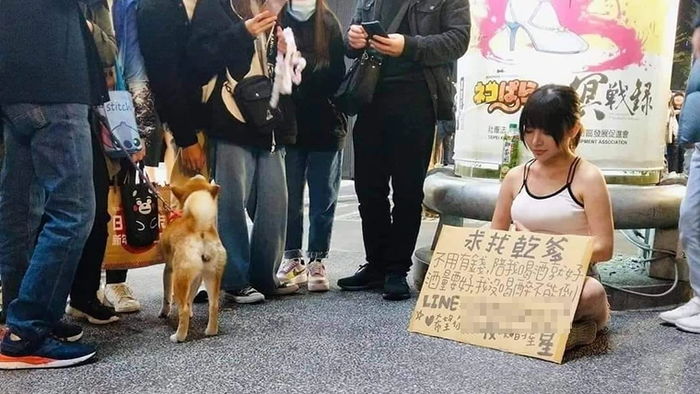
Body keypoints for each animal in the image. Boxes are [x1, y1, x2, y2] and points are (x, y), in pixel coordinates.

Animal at [159, 175, 226, 342]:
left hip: (179, 277)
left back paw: (178, 336)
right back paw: (211, 331)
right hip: (212, 275)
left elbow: (167, 296)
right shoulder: (197, 276)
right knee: (213, 305)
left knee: (182, 308)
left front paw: (164, 312)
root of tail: (200, 227)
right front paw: (191, 312)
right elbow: (190, 298)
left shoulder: (169, 269)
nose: (199, 174)